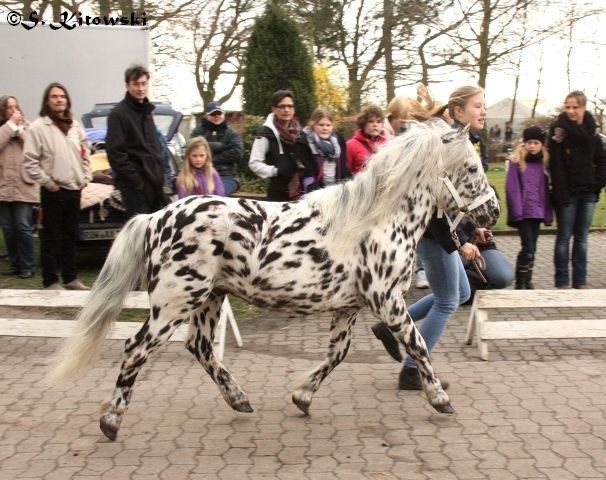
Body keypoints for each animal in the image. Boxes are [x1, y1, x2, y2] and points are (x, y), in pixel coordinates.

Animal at [50, 119, 498, 438]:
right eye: (471, 167)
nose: (492, 213)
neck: (376, 220)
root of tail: (155, 217)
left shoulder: (350, 306)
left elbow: (338, 353)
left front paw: (302, 397)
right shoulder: (386, 300)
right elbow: (418, 345)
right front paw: (440, 398)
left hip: (209, 299)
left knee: (200, 347)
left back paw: (240, 400)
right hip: (175, 302)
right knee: (136, 349)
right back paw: (111, 420)